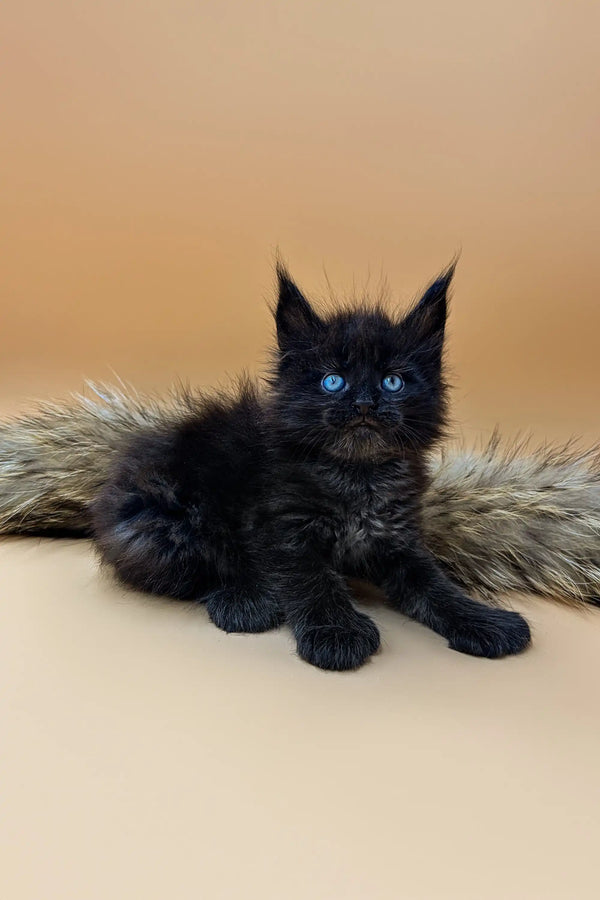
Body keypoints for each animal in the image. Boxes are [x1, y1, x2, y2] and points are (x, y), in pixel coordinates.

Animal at [90, 264, 528, 672]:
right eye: (333, 381)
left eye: (392, 382)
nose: (364, 404)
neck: (357, 477)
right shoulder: (284, 530)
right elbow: (314, 580)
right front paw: (337, 632)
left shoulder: (398, 537)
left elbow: (437, 586)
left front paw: (484, 620)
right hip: (163, 522)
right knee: (197, 567)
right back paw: (245, 601)